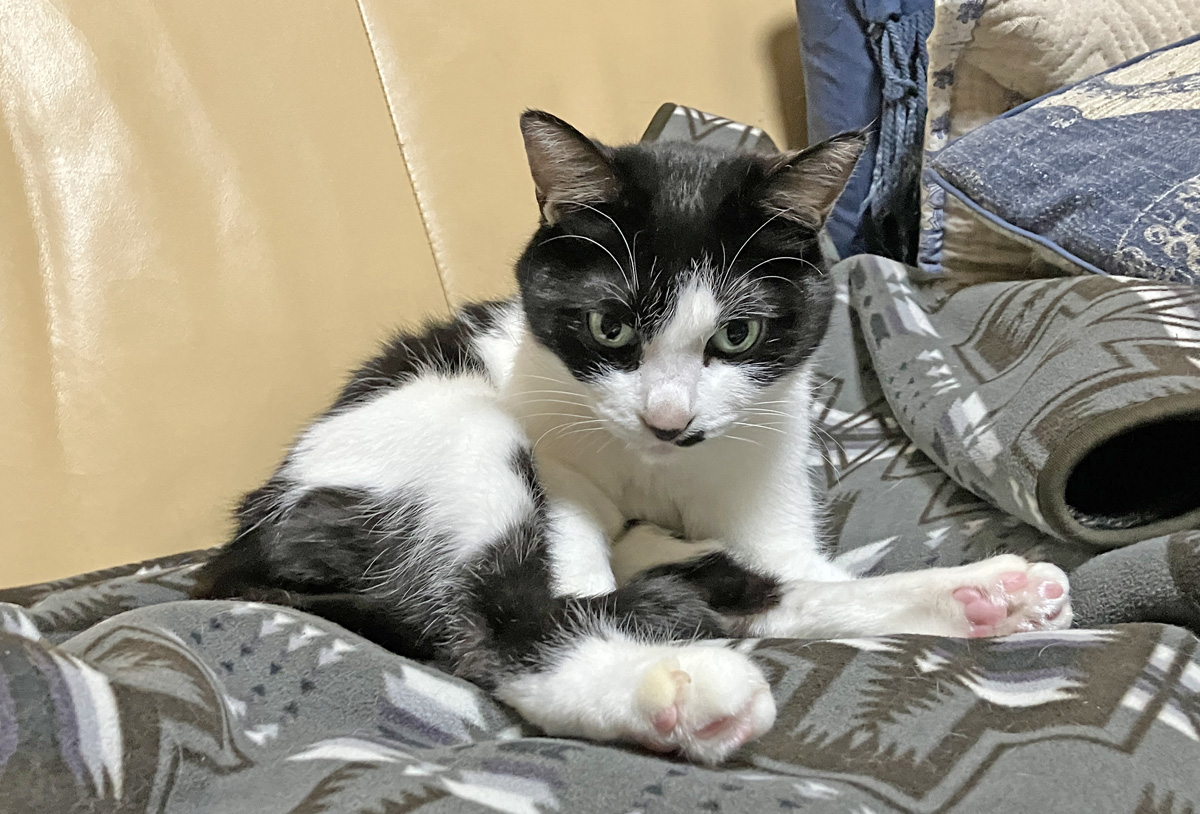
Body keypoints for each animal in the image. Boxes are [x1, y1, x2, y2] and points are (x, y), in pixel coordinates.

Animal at [192, 110, 1072, 764]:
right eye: (610, 327)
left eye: (739, 335)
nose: (668, 421)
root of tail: (239, 547)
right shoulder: (552, 448)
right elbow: (577, 554)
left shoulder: (767, 472)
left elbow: (785, 572)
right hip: (450, 428)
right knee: (501, 619)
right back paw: (674, 685)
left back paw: (984, 597)